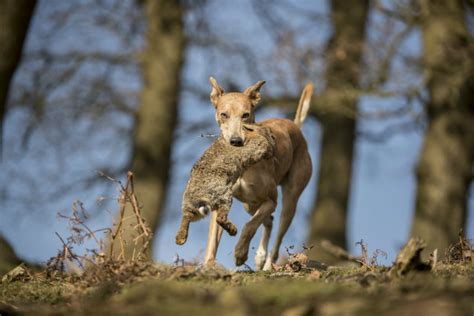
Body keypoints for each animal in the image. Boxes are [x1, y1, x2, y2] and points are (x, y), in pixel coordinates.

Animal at [206, 78, 312, 270]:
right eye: (224, 114)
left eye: (245, 115)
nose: (236, 141)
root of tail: (295, 126)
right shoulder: (221, 201)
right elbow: (212, 240)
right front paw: (209, 265)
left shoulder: (271, 200)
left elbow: (249, 226)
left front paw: (240, 253)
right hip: (249, 204)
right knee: (269, 220)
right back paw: (260, 256)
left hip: (290, 200)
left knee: (277, 236)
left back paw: (268, 264)